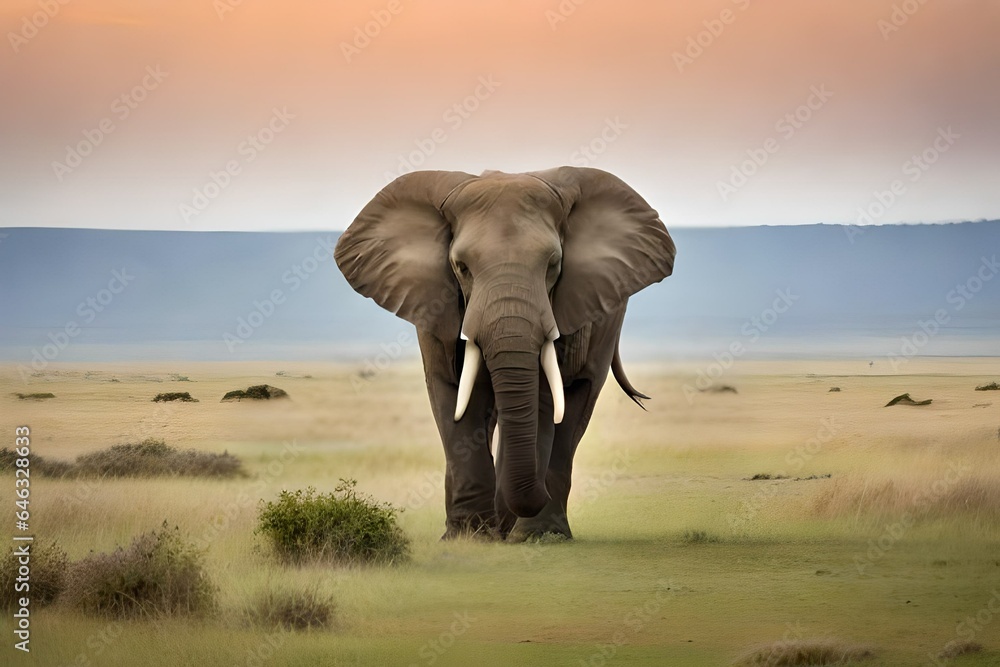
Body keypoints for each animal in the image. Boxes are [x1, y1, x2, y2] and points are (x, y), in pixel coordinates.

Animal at [335, 167, 676, 541]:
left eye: (553, 264)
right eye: (462, 267)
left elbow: (544, 396)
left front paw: (527, 535)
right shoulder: (434, 305)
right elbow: (452, 392)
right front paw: (467, 538)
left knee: (578, 398)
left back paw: (533, 530)